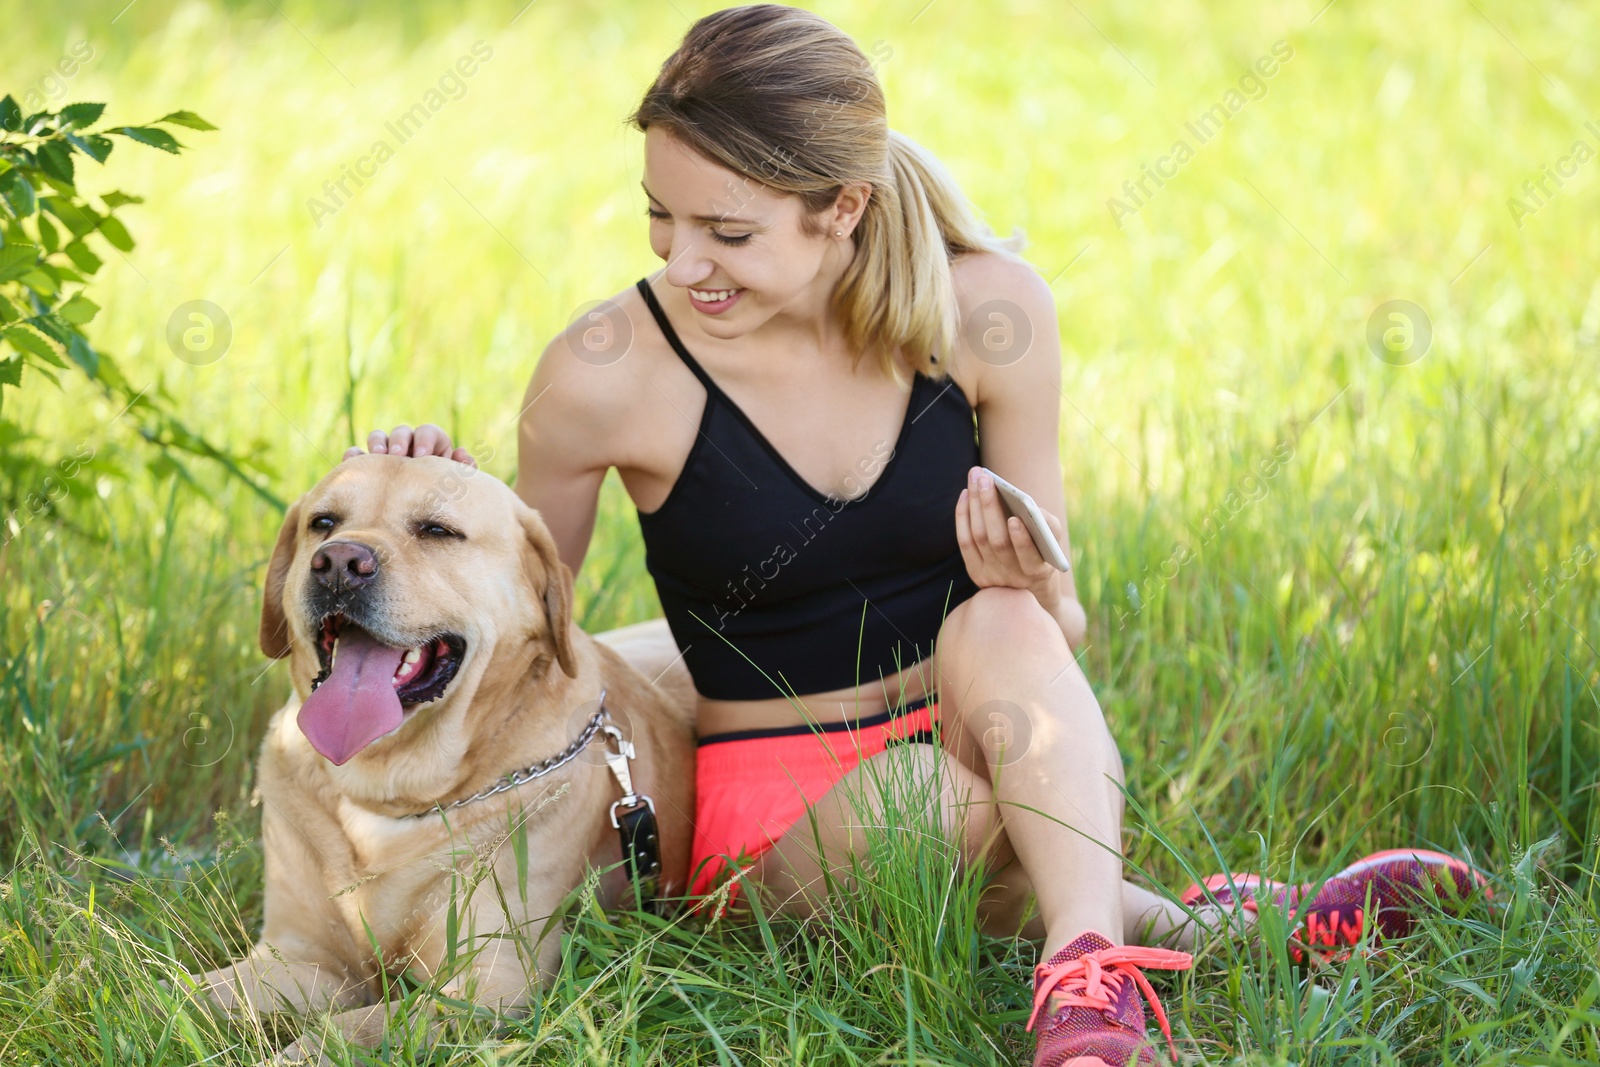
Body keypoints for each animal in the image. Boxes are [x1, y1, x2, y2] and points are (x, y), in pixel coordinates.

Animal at [183, 454, 694, 1062]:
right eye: (322, 523)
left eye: (436, 531)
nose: (338, 564)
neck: (386, 792)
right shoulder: (303, 959)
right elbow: (181, 992)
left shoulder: (490, 987)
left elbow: (349, 1030)